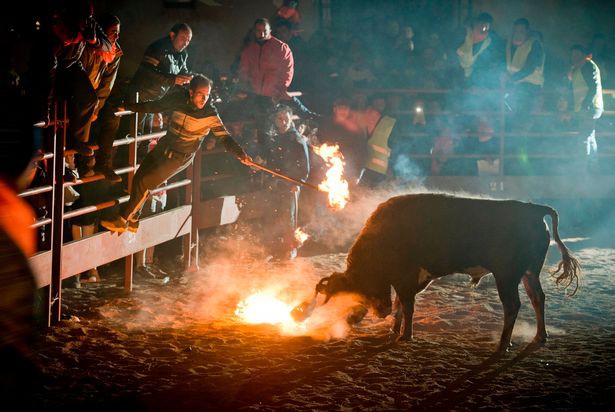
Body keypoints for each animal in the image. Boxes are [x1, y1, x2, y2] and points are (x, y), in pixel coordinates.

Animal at [316, 195, 580, 352]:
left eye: (361, 285)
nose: (379, 312)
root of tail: (533, 210)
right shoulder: (410, 280)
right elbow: (401, 303)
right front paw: (393, 330)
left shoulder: (406, 277)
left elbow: (407, 305)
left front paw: (405, 336)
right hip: (528, 273)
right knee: (538, 299)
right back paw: (540, 337)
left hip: (506, 276)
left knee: (513, 305)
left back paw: (503, 344)